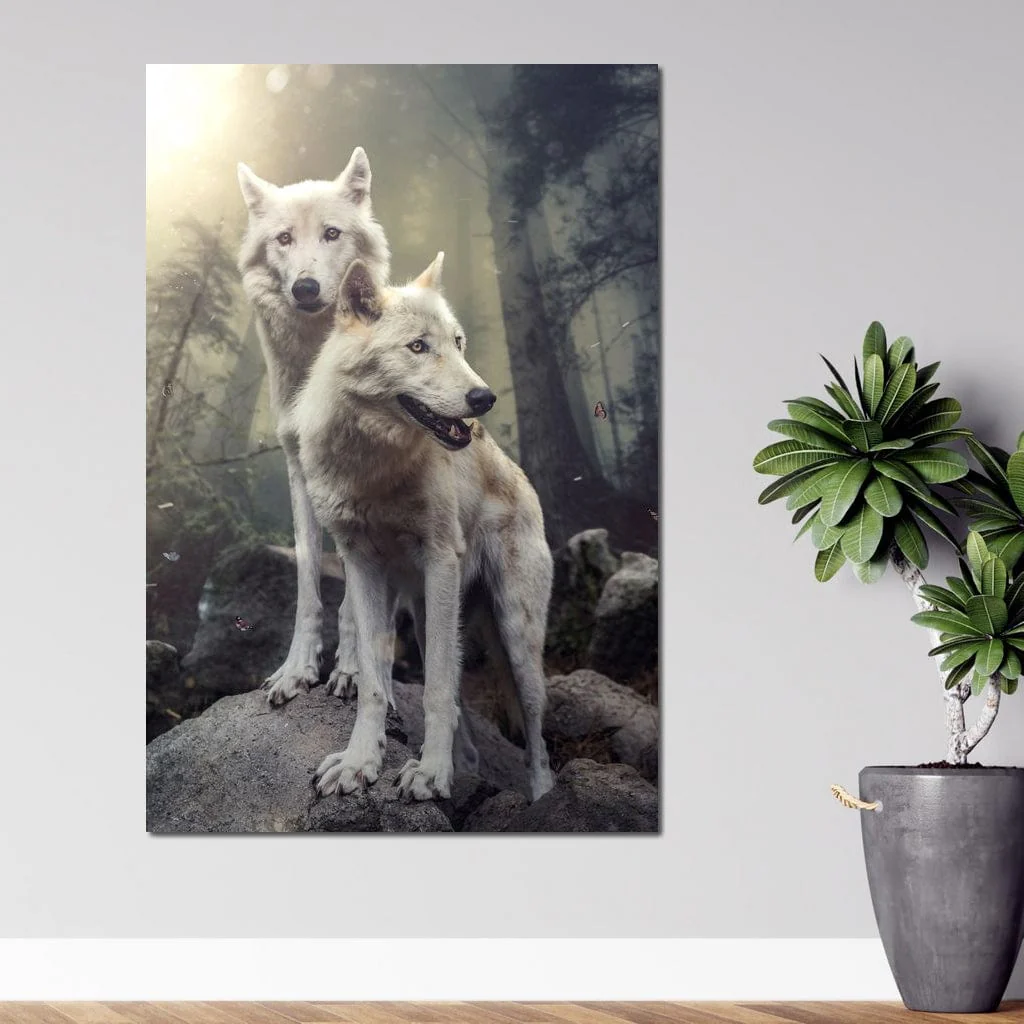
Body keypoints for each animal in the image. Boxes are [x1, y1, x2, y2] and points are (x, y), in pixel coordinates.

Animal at [237, 148, 389, 706]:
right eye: (284, 238)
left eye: (331, 233)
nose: (305, 287)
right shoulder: (298, 471)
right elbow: (307, 583)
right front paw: (296, 669)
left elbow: (355, 595)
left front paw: (351, 670)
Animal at [292, 252, 556, 802]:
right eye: (418, 347)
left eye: (458, 343)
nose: (484, 398)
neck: (374, 467)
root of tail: (521, 477)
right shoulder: (361, 566)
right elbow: (374, 681)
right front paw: (360, 762)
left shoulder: (440, 561)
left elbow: (434, 688)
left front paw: (432, 773)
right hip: (425, 613)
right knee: (463, 715)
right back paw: (466, 765)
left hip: (516, 636)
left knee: (536, 733)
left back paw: (543, 797)